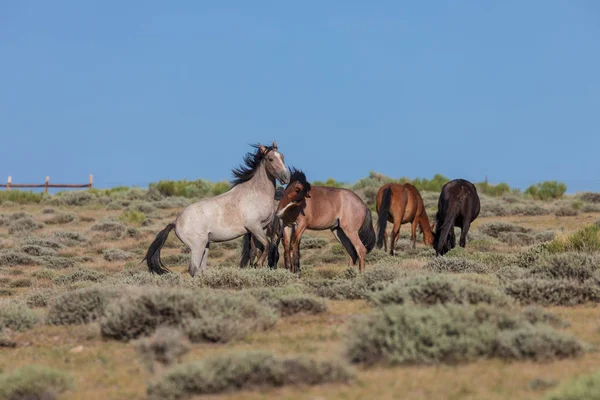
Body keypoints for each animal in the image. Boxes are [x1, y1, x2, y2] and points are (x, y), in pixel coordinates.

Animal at [145, 142, 290, 276]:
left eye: (282, 157)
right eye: (270, 159)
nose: (286, 177)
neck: (256, 192)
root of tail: (176, 222)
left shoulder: (260, 228)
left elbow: (258, 249)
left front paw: (257, 265)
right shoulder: (254, 226)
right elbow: (267, 245)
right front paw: (258, 264)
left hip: (206, 246)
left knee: (201, 269)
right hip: (198, 246)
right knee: (193, 269)